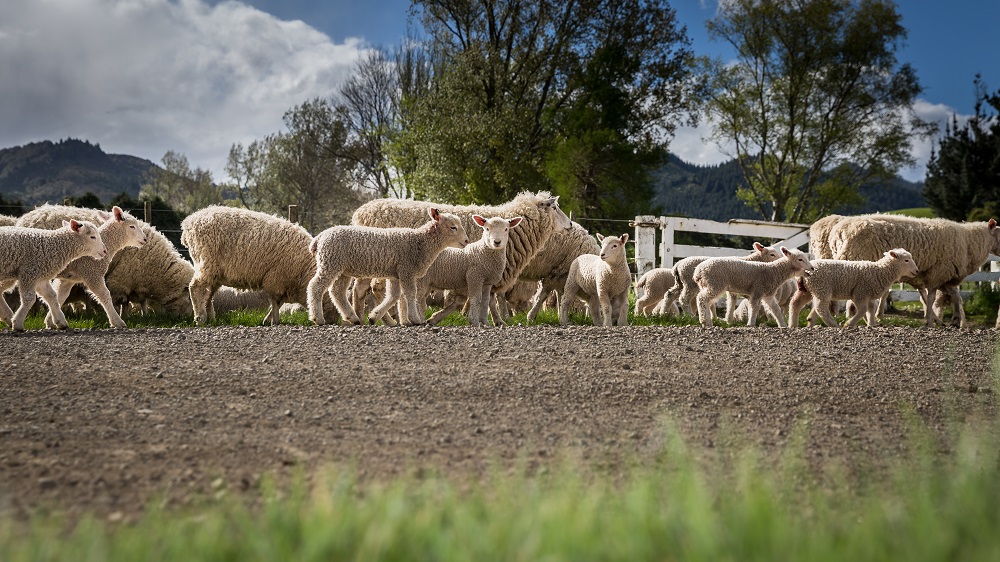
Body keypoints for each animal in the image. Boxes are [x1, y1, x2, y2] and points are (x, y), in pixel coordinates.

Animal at [178, 205, 338, 324]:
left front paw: (268, 319)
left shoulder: (282, 284)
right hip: (206, 263)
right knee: (196, 287)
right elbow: (275, 302)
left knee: (208, 295)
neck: (304, 272)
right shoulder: (275, 279)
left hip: (215, 273)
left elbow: (279, 302)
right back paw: (200, 318)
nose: (332, 322)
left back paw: (211, 318)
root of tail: (189, 222)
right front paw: (274, 321)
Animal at [308, 208, 468, 326]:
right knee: (315, 286)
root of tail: (319, 237)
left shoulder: (396, 274)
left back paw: (352, 317)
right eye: (453, 227)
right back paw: (318, 318)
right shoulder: (406, 270)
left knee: (337, 292)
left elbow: (393, 296)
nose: (467, 241)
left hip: (342, 269)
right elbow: (410, 294)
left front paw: (374, 316)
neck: (421, 242)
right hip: (330, 262)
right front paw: (415, 319)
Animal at [788, 249, 920, 328]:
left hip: (807, 290)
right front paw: (849, 324)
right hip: (821, 288)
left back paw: (793, 325)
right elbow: (862, 310)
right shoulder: (860, 293)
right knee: (821, 307)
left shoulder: (869, 296)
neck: (880, 271)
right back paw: (834, 324)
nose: (917, 271)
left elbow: (870, 310)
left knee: (795, 304)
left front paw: (871, 324)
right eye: (906, 260)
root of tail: (805, 270)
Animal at [828, 214, 1000, 328]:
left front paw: (955, 320)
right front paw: (930, 322)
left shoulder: (943, 279)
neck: (969, 242)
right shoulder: (937, 274)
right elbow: (930, 299)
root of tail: (839, 231)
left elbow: (955, 297)